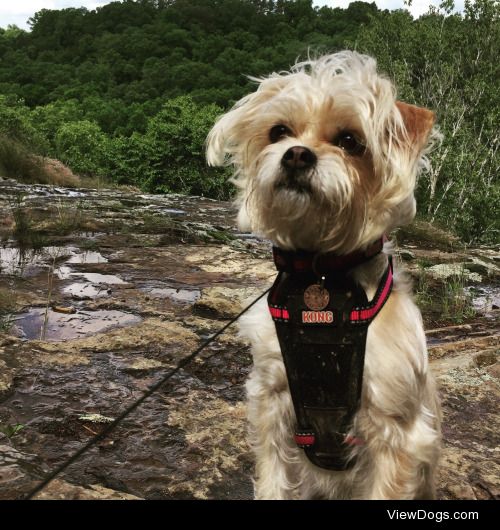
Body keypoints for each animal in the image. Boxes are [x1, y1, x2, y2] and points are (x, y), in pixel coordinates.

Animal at [205, 51, 440, 498]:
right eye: (279, 131)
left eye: (350, 141)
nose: (296, 155)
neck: (323, 271)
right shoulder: (273, 401)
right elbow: (273, 479)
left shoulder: (394, 430)